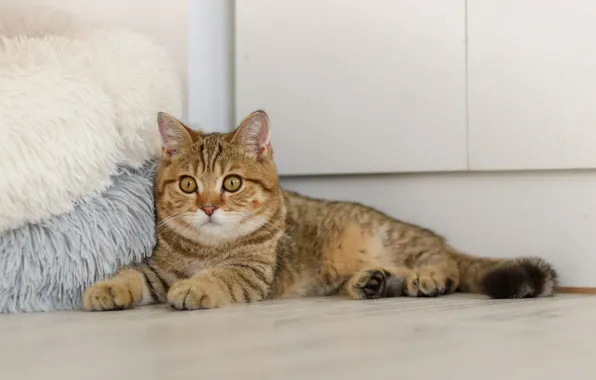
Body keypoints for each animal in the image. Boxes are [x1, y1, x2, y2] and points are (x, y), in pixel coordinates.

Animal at [81, 110, 556, 312]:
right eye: (188, 184)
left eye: (232, 183)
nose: (209, 206)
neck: (206, 250)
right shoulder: (159, 269)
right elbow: (135, 275)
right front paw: (108, 288)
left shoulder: (252, 273)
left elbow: (221, 277)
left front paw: (197, 287)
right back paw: (373, 283)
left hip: (393, 239)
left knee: (447, 265)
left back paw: (426, 278)